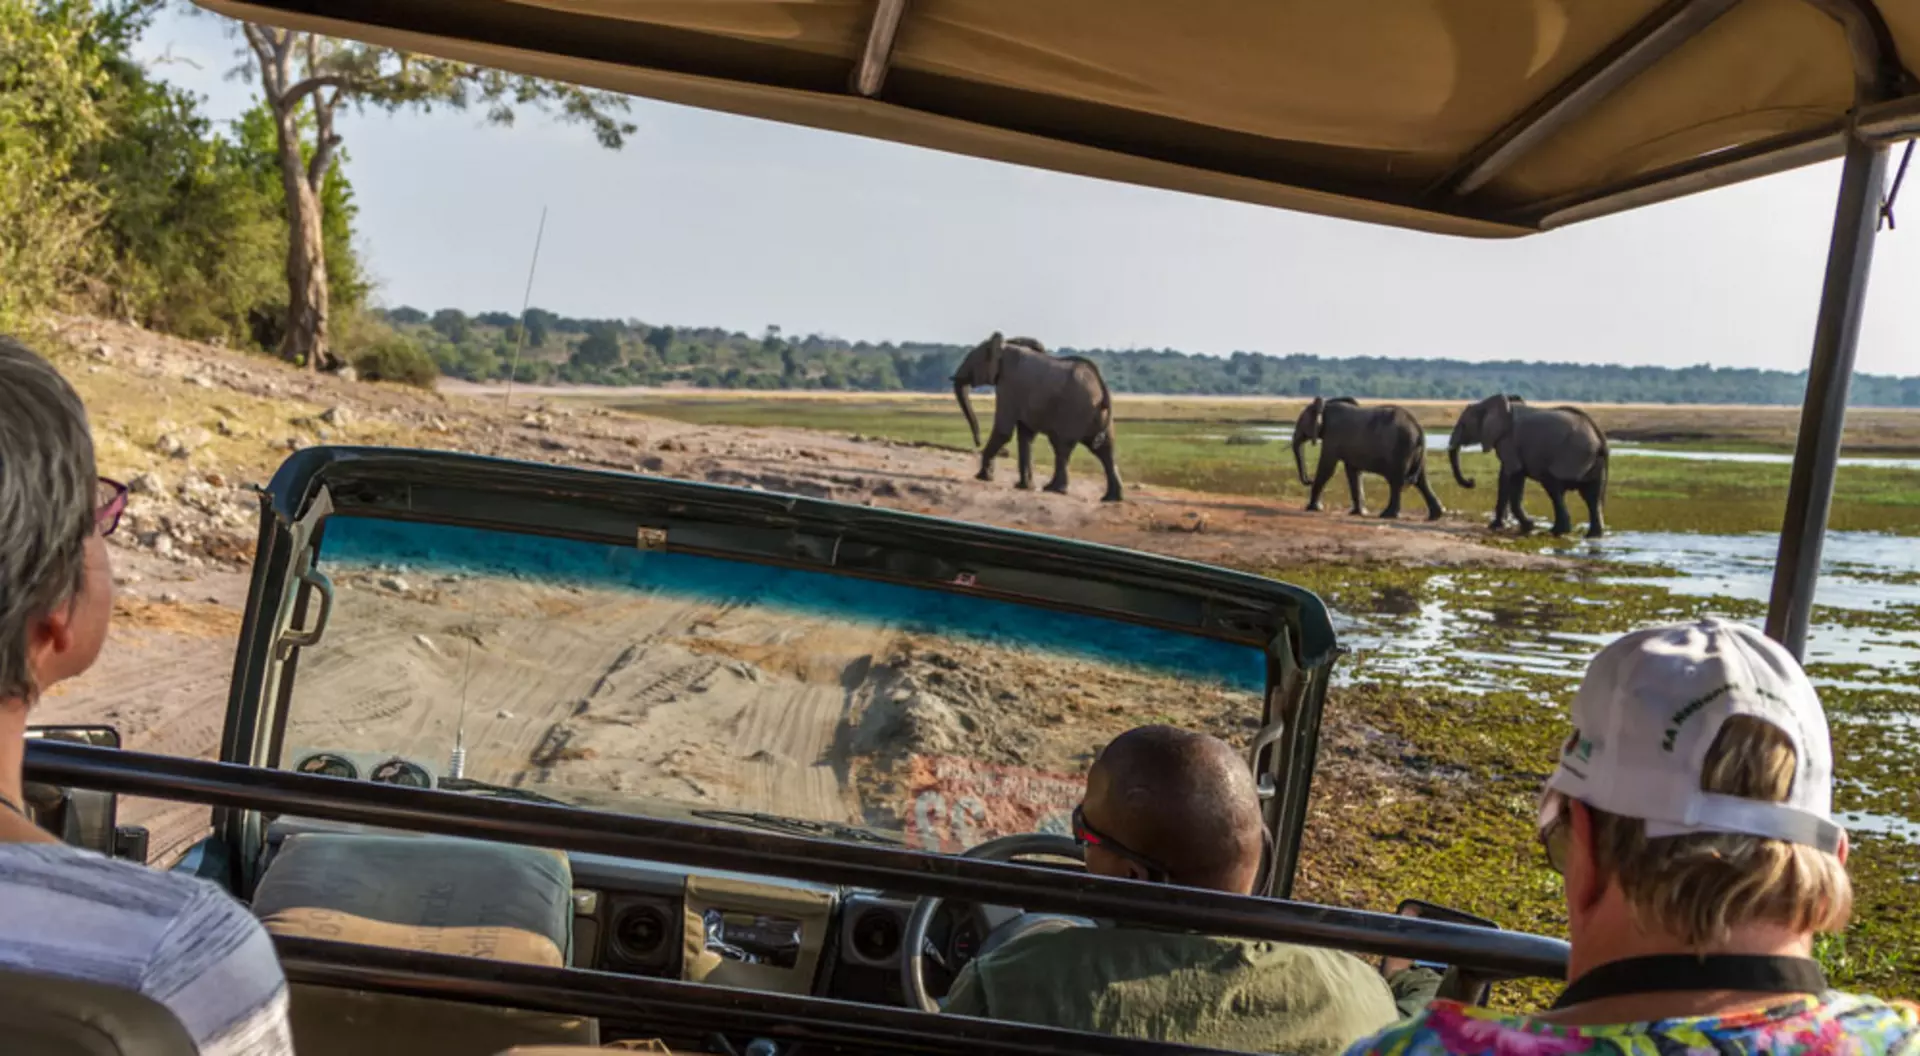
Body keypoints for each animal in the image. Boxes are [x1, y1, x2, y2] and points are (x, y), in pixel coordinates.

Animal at [952, 332, 1123, 502]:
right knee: (1105, 450)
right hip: (1098, 414)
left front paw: (982, 477)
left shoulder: (1008, 386)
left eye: (970, 358)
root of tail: (1101, 386)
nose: (978, 442)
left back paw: (1054, 489)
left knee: (1062, 446)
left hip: (1074, 411)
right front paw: (1023, 487)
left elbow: (1003, 431)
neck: (1004, 346)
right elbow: (1025, 436)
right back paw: (1111, 498)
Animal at [1291, 397, 1443, 520]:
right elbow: (1353, 473)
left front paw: (1312, 508)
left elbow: (1327, 468)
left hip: (1402, 449)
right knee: (1421, 481)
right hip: (1415, 452)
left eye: (1300, 422)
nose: (1309, 480)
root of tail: (1419, 429)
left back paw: (1387, 515)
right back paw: (1436, 515)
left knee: (1396, 480)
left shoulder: (1332, 437)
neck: (1325, 405)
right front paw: (1358, 513)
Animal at [1447, 394, 1609, 538]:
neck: (1487, 404)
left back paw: (1556, 532)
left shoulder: (1509, 440)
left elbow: (1511, 475)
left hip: (1572, 455)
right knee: (1592, 495)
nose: (1471, 481)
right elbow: (1510, 478)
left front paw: (1526, 526)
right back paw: (1592, 536)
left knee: (1554, 487)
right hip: (1593, 461)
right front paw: (1501, 526)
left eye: (1463, 425)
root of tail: (1599, 438)